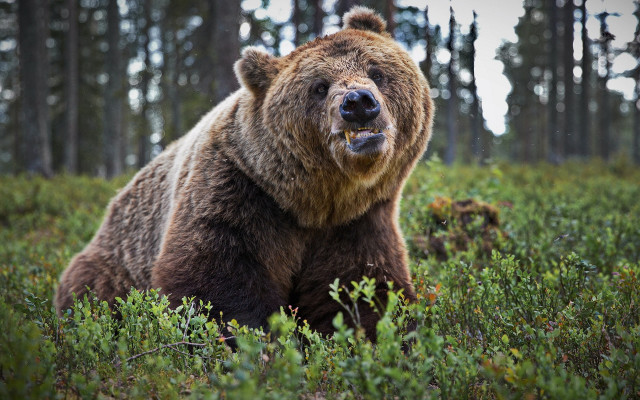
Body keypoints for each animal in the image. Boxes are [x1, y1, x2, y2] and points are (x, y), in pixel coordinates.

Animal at [55, 7, 434, 341]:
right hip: (116, 264)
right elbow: (215, 283)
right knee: (93, 292)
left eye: (377, 71)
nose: (358, 103)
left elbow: (361, 288)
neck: (314, 202)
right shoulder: (238, 193)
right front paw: (257, 343)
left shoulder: (358, 221)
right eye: (319, 86)